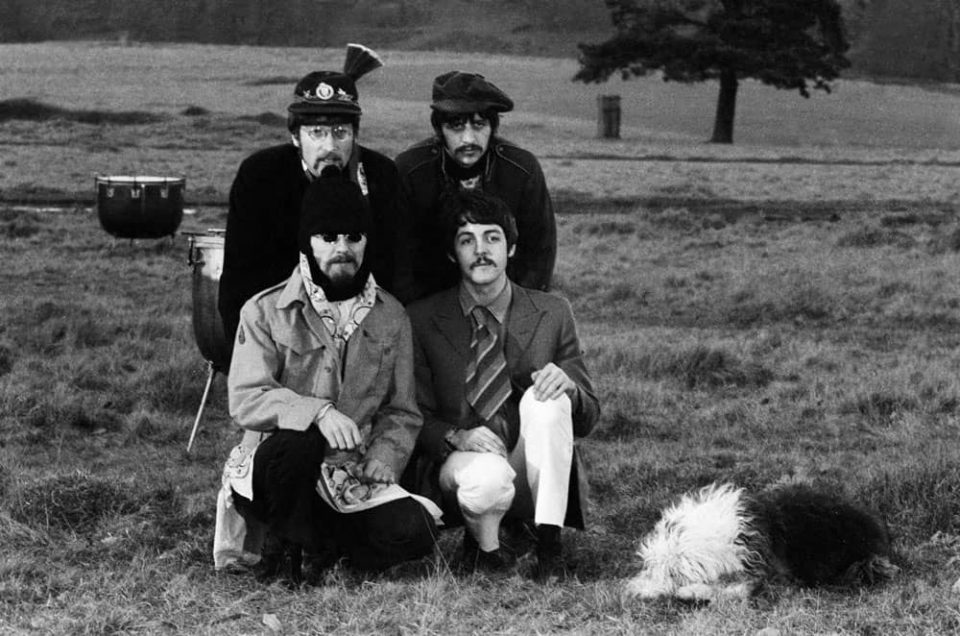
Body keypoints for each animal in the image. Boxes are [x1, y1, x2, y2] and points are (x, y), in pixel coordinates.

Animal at [628, 482, 896, 600]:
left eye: (673, 573)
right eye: (650, 567)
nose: (638, 593)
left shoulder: (770, 574)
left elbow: (733, 589)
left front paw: (691, 591)